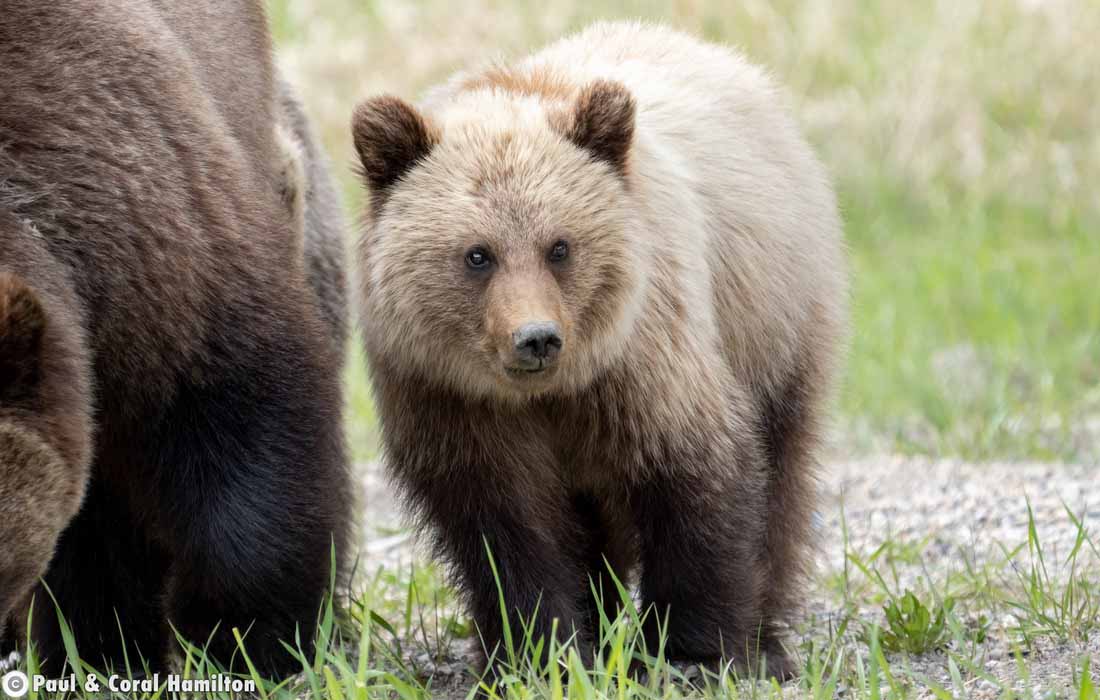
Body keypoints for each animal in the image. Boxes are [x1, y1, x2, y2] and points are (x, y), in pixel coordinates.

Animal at [352, 20, 849, 677]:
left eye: (559, 246)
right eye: (478, 254)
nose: (536, 338)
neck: (549, 394)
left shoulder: (642, 364)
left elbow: (699, 479)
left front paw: (691, 652)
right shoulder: (450, 399)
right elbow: (508, 532)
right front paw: (536, 653)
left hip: (774, 318)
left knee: (783, 474)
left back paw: (767, 638)